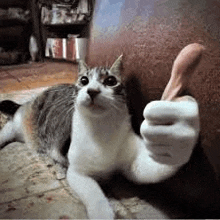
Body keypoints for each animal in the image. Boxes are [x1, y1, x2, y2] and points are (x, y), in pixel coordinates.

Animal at [0, 55, 199, 219]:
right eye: (84, 80)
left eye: (110, 81)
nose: (92, 90)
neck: (101, 129)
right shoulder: (76, 171)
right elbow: (93, 192)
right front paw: (103, 212)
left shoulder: (133, 161)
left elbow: (151, 167)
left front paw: (177, 131)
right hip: (22, 122)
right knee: (9, 126)